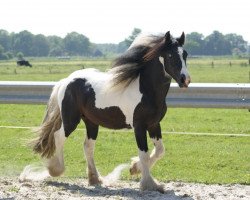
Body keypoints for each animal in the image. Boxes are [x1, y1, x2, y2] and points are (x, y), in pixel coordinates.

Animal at [31, 31, 191, 192]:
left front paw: (134, 168)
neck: (146, 90)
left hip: (91, 122)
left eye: (185, 54)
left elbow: (159, 151)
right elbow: (144, 154)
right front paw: (149, 183)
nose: (185, 80)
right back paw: (55, 170)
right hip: (71, 120)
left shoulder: (154, 124)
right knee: (58, 137)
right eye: (170, 55)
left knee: (88, 147)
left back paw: (95, 179)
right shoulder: (139, 126)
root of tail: (66, 81)